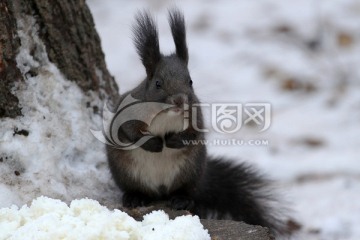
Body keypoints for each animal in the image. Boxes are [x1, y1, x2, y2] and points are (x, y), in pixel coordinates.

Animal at [105, 8, 288, 235]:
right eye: (158, 83)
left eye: (190, 81)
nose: (180, 100)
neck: (167, 114)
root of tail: (160, 193)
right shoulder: (130, 113)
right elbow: (129, 131)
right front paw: (155, 144)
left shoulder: (195, 115)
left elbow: (194, 133)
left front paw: (172, 141)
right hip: (124, 172)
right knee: (134, 188)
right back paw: (135, 197)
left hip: (191, 171)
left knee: (186, 192)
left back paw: (182, 200)